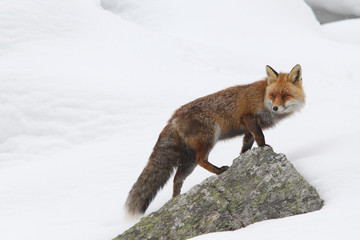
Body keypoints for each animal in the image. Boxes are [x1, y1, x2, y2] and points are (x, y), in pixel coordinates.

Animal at [125, 64, 306, 216]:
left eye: (285, 95)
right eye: (273, 95)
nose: (275, 107)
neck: (263, 97)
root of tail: (173, 117)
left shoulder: (248, 129)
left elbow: (246, 146)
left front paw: (242, 158)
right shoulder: (248, 116)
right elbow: (260, 137)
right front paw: (264, 148)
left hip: (189, 160)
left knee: (177, 178)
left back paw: (176, 199)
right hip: (209, 137)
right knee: (201, 160)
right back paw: (219, 170)